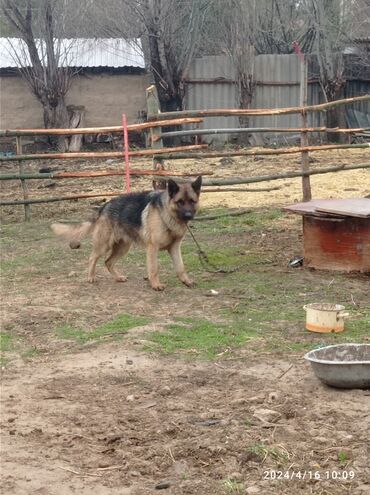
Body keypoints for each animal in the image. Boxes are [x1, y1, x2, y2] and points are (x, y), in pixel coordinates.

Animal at [50, 177, 201, 290]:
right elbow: (154, 268)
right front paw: (155, 285)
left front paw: (186, 281)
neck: (167, 214)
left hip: (123, 248)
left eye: (192, 201)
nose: (188, 216)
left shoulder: (174, 248)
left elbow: (181, 267)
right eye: (180, 202)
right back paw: (91, 277)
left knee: (108, 262)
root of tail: (104, 206)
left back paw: (118, 277)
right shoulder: (153, 248)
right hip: (104, 245)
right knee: (92, 258)